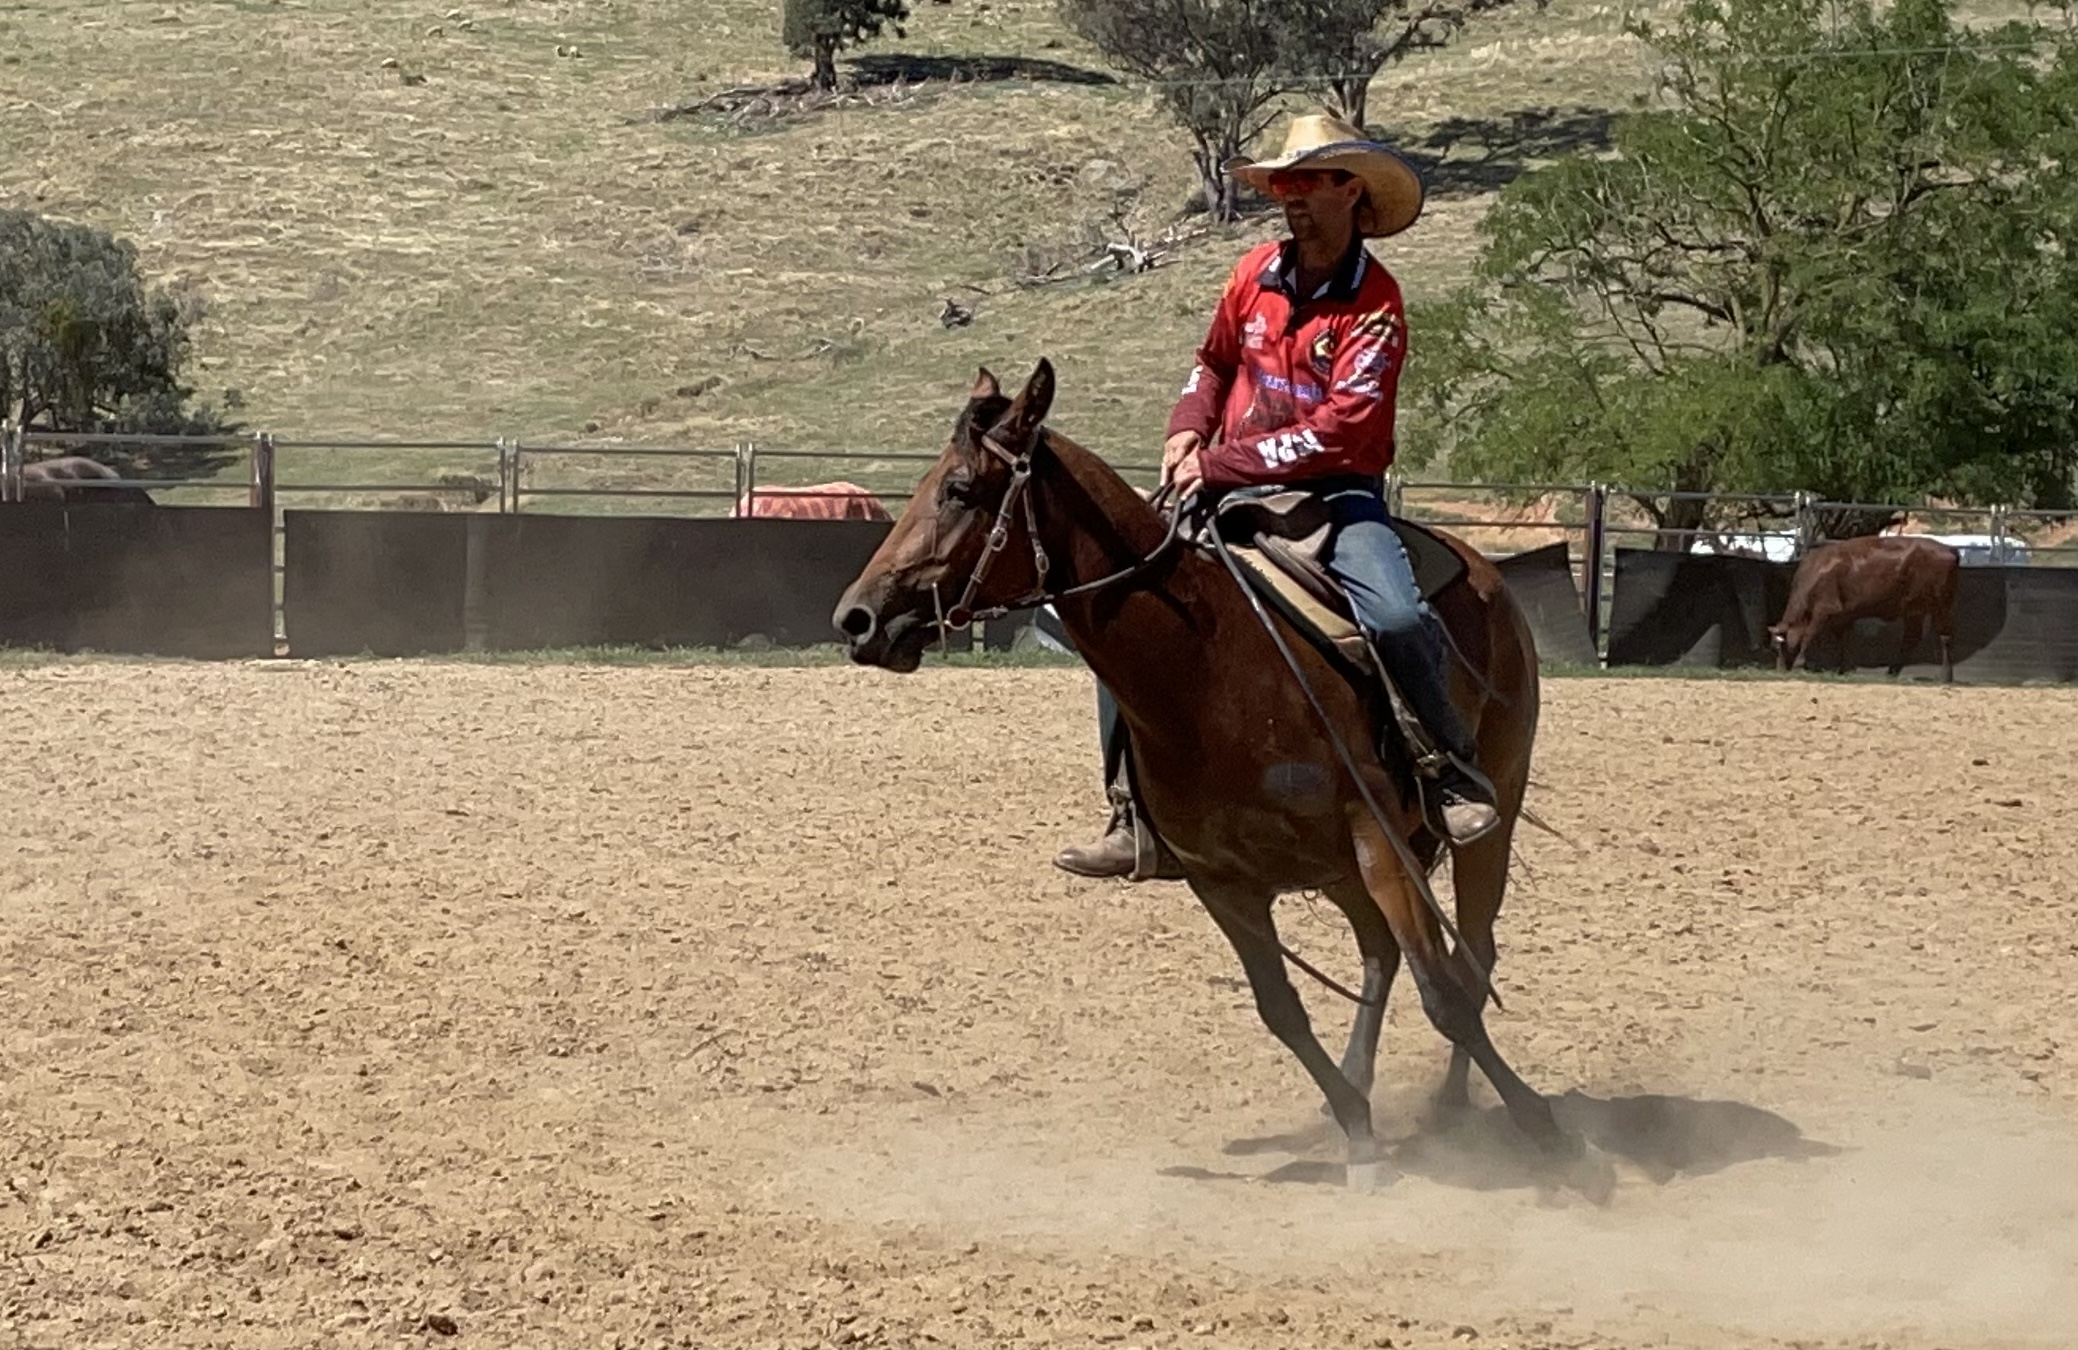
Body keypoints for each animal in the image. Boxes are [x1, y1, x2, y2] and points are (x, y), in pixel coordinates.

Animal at [833, 360, 1610, 1199]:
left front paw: (1550, 1136)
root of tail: (1488, 576)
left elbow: (1448, 1000)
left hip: (1477, 817)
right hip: (1339, 872)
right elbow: (1282, 1011)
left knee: (1470, 954)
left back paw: (1450, 1107)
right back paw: (1368, 1090)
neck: (1210, 668)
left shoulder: (1377, 843)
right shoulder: (1223, 881)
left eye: (960, 489)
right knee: (1382, 957)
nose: (857, 619)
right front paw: (1359, 1135)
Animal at [1768, 534, 1962, 682]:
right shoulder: (1843, 617)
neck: (1818, 570)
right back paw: (1892, 672)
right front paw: (1844, 668)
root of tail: (1949, 549)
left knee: (1945, 637)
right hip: (1914, 610)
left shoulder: (1824, 610)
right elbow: (1843, 641)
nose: (1780, 670)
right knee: (1911, 638)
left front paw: (1800, 663)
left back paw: (1946, 676)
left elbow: (1809, 634)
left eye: (1781, 647)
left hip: (1941, 605)